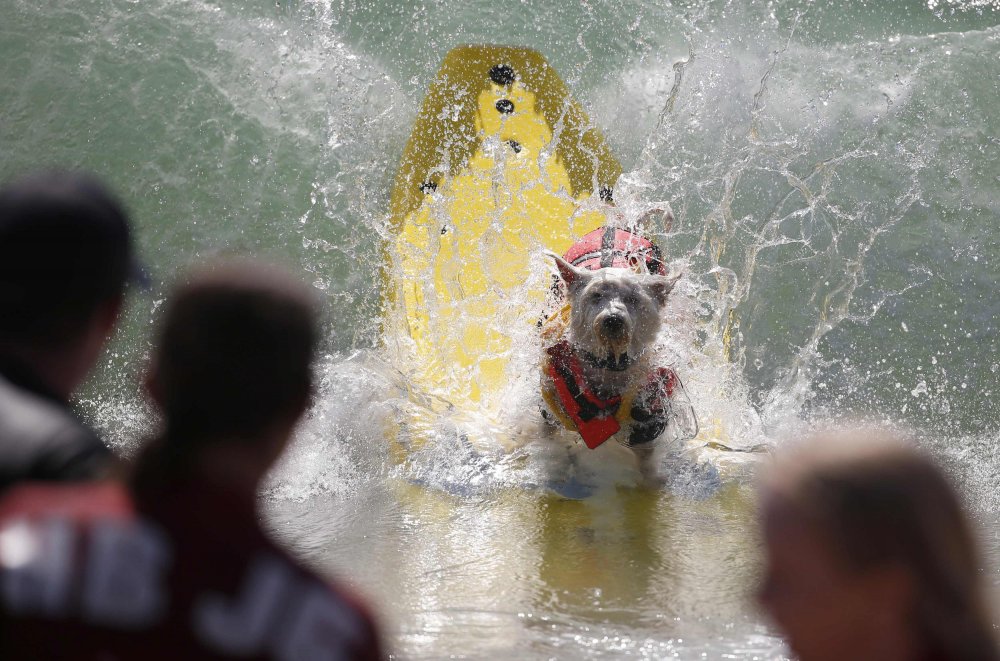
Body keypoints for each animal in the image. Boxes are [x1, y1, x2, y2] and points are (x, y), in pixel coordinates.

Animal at [540, 224, 696, 482]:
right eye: (595, 295)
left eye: (633, 298)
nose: (613, 319)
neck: (609, 366)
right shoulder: (552, 403)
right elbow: (553, 441)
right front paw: (559, 469)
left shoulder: (650, 412)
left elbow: (646, 454)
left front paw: (652, 479)